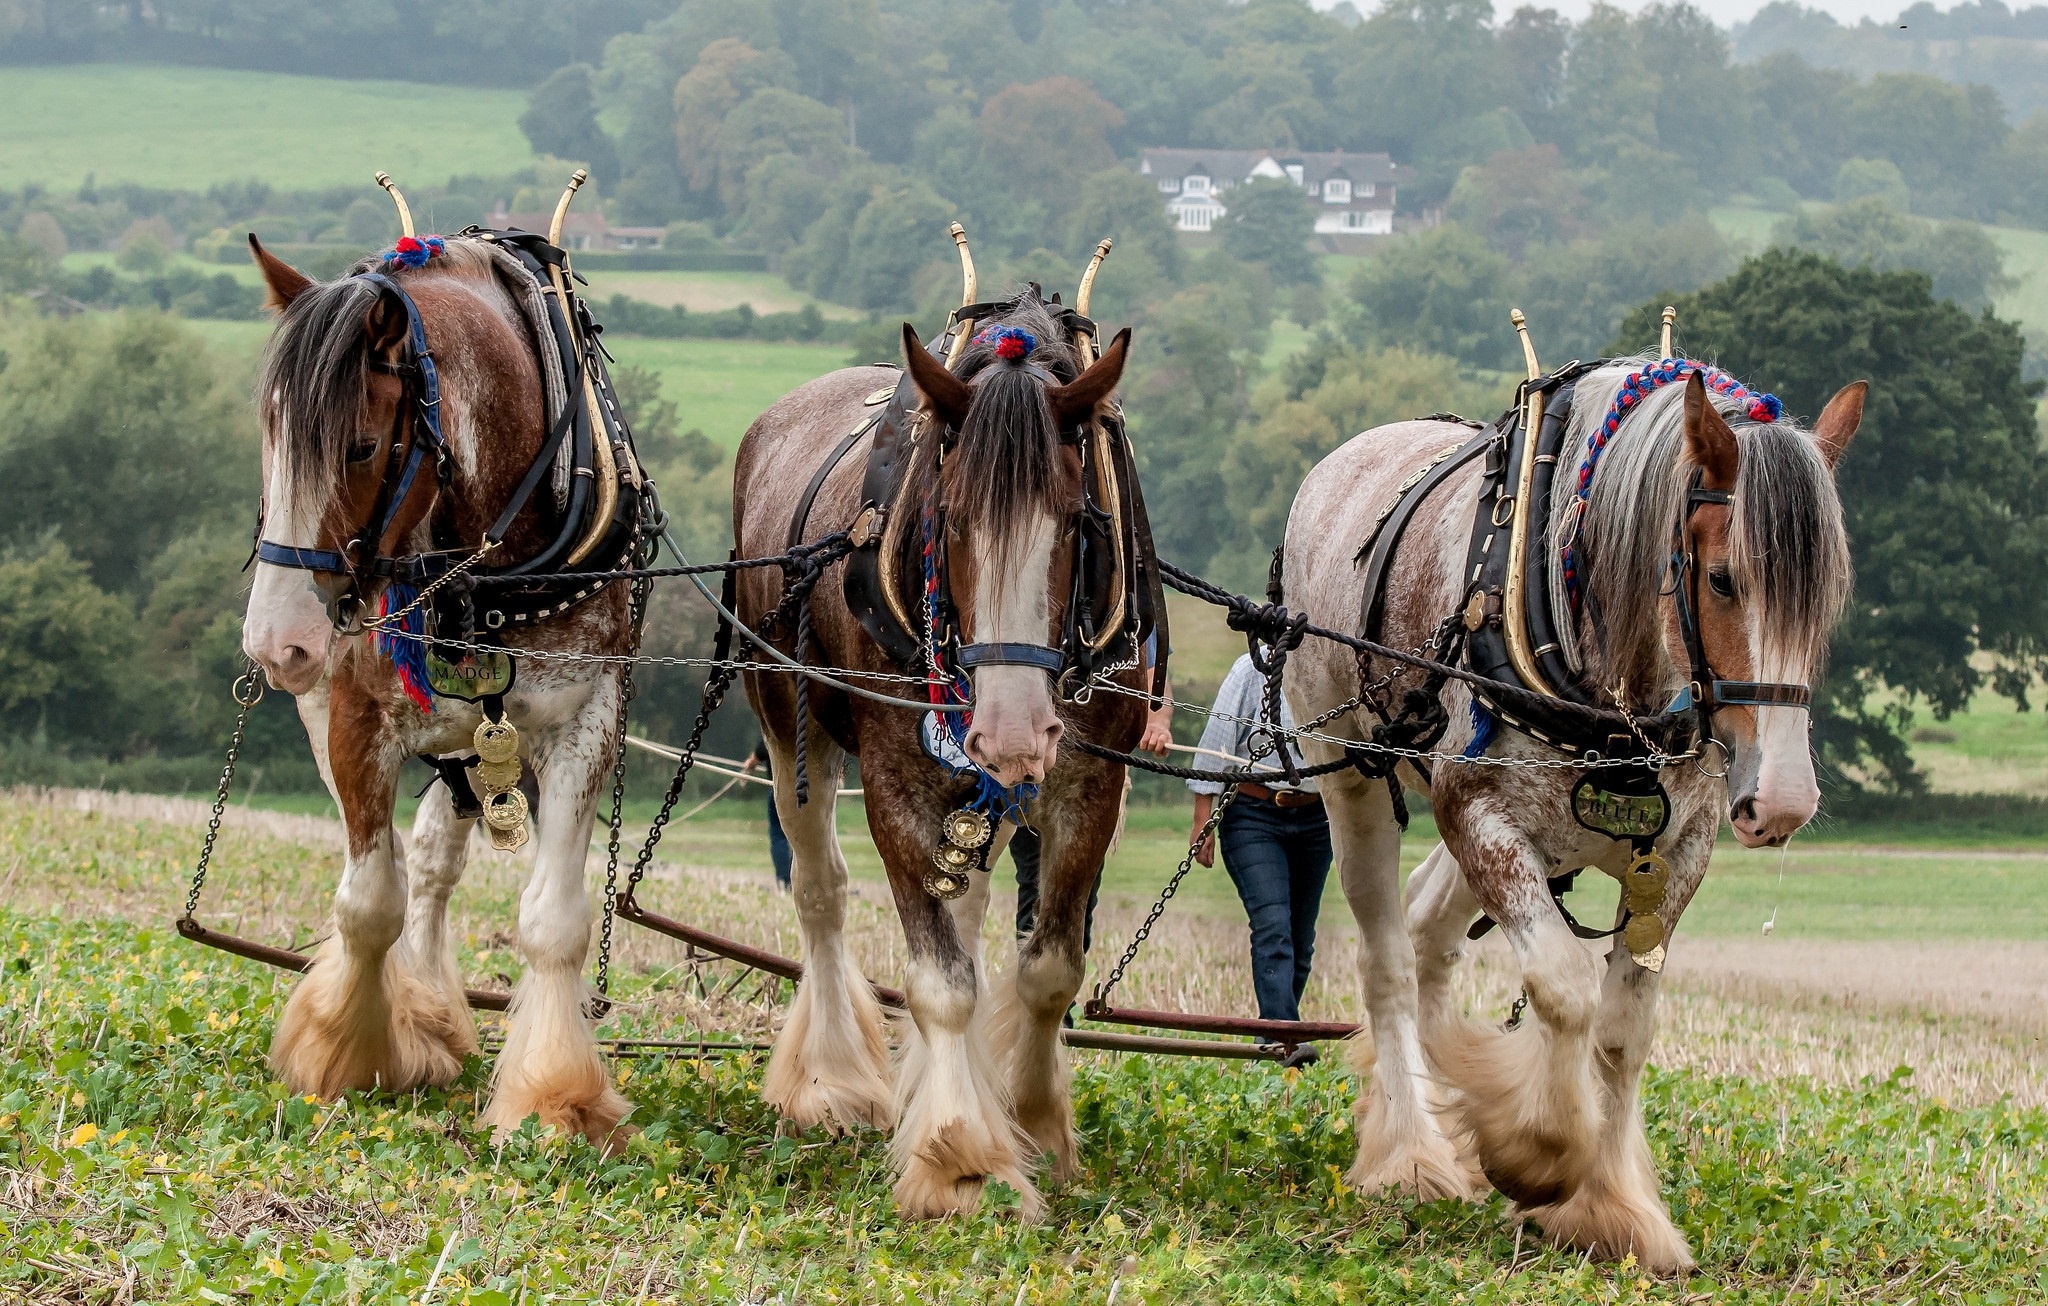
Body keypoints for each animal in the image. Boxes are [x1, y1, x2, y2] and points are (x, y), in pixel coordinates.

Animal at [239, 227, 655, 1154]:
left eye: (360, 446)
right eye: (268, 435)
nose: (278, 642)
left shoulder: (585, 721)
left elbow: (552, 920)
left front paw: (554, 1099)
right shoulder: (355, 717)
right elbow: (369, 901)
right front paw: (347, 1052)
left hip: (475, 747)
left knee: (435, 858)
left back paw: (429, 1009)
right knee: (404, 865)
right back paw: (413, 1014)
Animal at [737, 290, 1155, 1220]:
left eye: (1076, 522)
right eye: (950, 519)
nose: (1011, 731)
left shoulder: (1090, 783)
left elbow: (1048, 969)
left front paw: (1033, 1128)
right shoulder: (896, 779)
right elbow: (942, 982)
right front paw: (961, 1158)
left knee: (962, 905)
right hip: (785, 716)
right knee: (820, 891)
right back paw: (831, 1079)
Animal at [1286, 352, 1867, 1277]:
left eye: (1825, 601)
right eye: (1723, 578)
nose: (1781, 802)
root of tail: (1344, 460)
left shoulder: (1676, 856)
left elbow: (1624, 1032)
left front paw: (1611, 1207)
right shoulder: (1477, 812)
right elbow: (1562, 988)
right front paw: (1539, 1153)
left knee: (1428, 934)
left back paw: (1452, 1096)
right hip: (1354, 779)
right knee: (1389, 959)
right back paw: (1411, 1152)